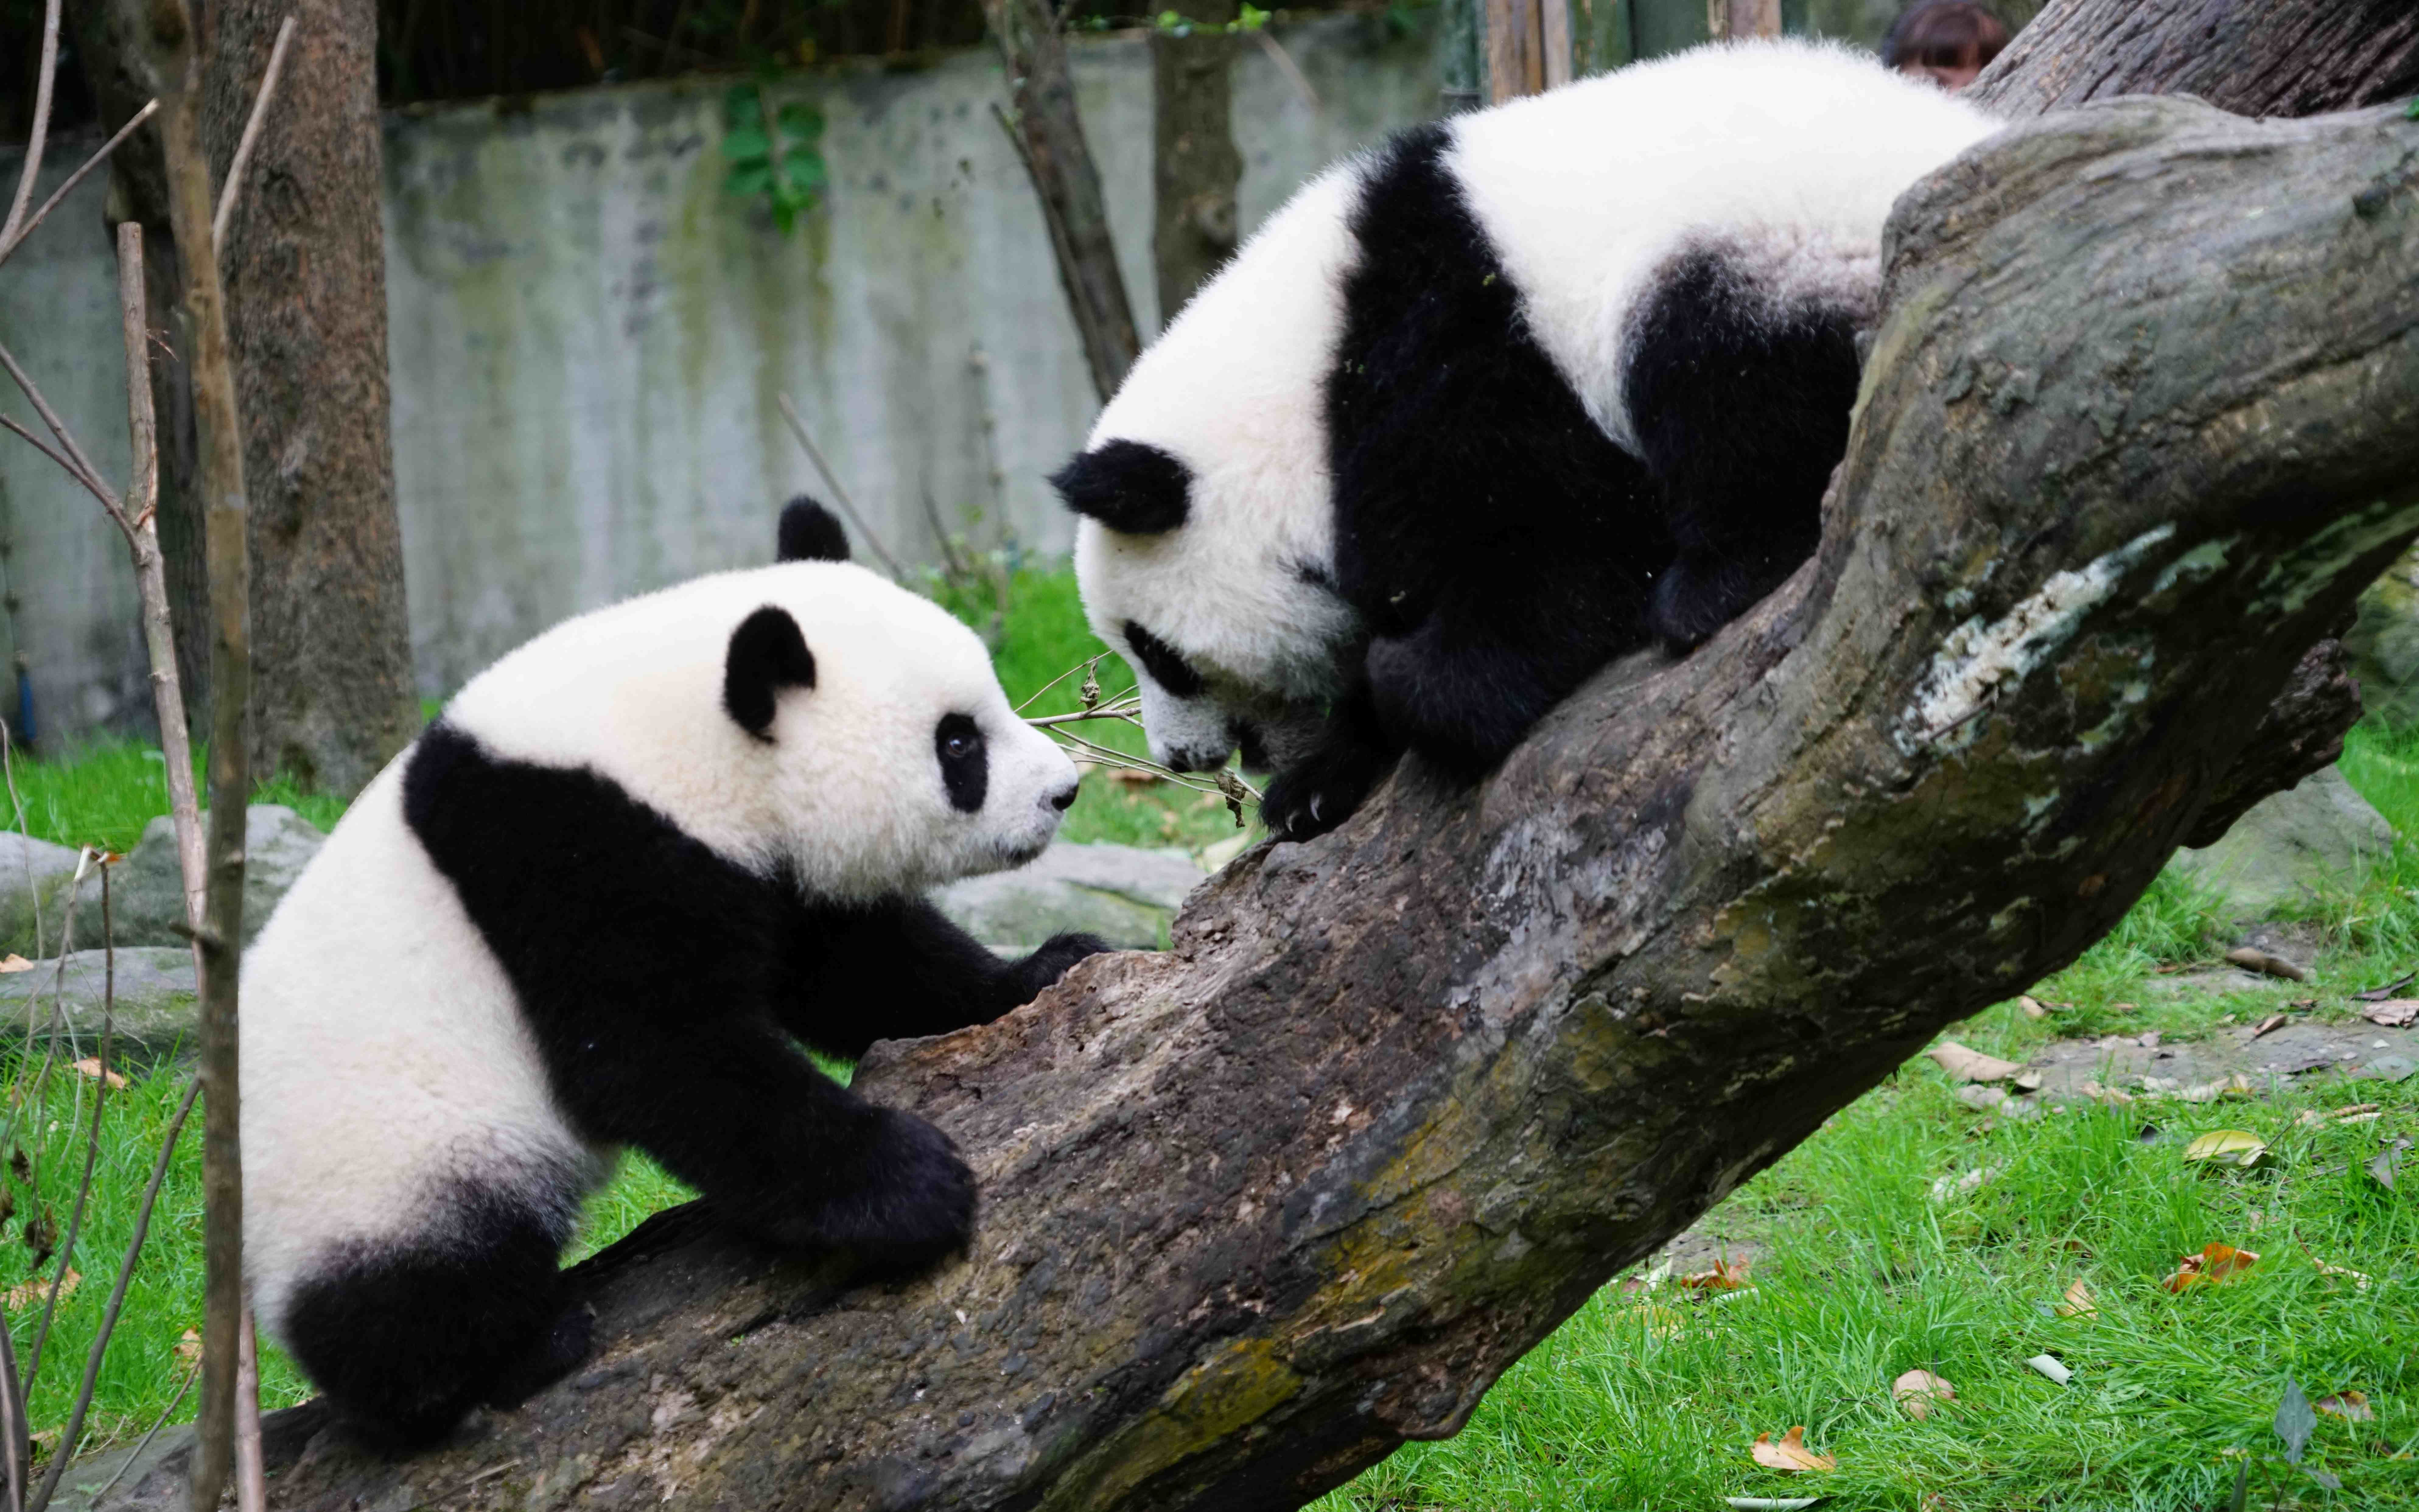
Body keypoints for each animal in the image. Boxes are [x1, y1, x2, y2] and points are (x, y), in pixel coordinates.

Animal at [236, 501, 1108, 1442]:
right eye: (957, 743)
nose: (1062, 792)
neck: (671, 737)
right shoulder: (574, 861)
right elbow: (660, 1055)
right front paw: (911, 1186)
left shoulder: (752, 865)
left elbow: (854, 967)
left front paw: (1049, 968)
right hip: (387, 1159)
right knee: (413, 1289)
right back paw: (506, 1356)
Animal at [1050, 38, 1993, 837]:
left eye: (1158, 653)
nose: (1180, 757)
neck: (1303, 375)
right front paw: (1316, 783)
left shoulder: (1452, 359)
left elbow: (1559, 550)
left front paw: (1410, 685)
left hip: (1786, 242)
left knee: (1728, 382)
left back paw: (1711, 582)